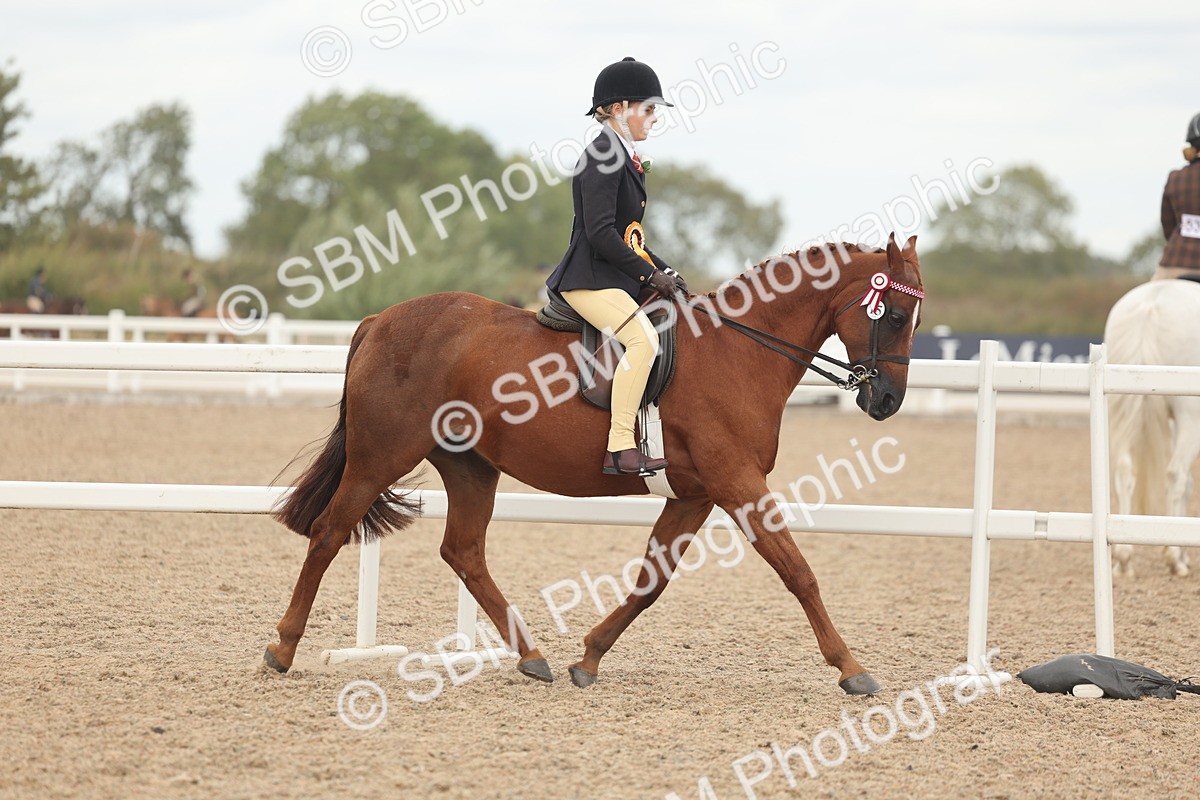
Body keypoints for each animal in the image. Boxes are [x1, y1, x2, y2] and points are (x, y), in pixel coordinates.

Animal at [265, 234, 925, 695]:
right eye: (894, 315)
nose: (887, 402)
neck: (739, 351)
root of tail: (381, 320)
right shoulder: (738, 483)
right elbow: (799, 572)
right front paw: (852, 669)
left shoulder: (695, 494)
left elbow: (651, 581)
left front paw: (589, 657)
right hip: (380, 456)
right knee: (329, 533)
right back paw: (282, 649)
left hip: (471, 466)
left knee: (464, 552)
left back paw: (533, 657)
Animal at [1105, 279, 1200, 578]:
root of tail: (1152, 304)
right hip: (1191, 416)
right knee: (1175, 474)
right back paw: (1174, 558)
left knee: (1124, 471)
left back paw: (1124, 558)